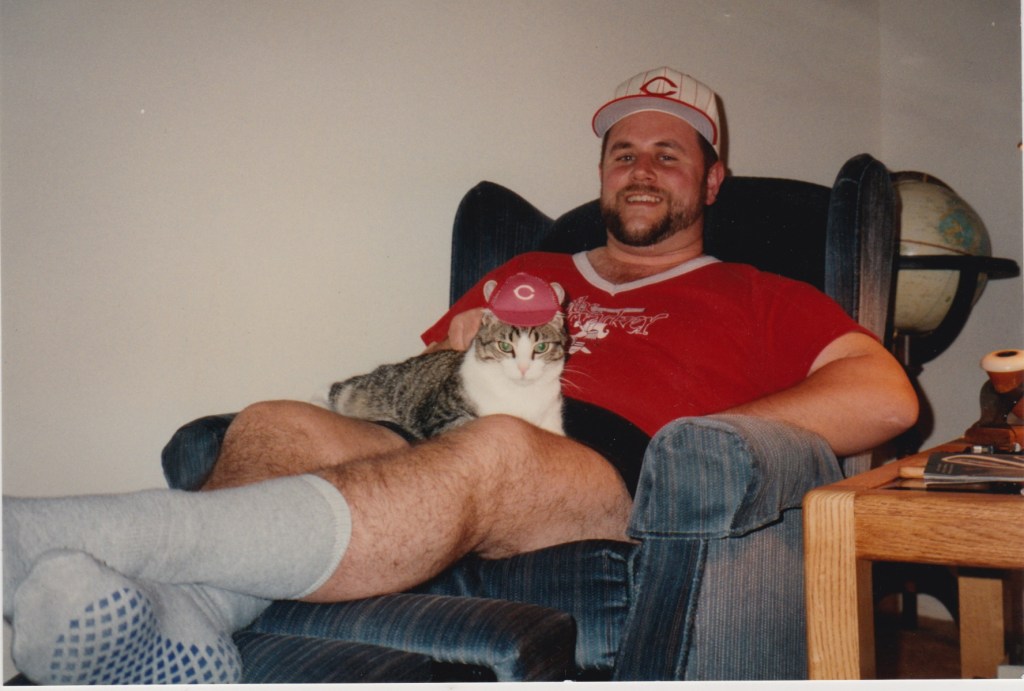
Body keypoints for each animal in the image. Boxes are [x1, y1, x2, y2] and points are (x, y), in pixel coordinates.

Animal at [328, 290, 567, 441]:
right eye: (505, 346)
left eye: (542, 347)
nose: (523, 368)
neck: (522, 395)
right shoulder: (440, 417)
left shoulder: (551, 416)